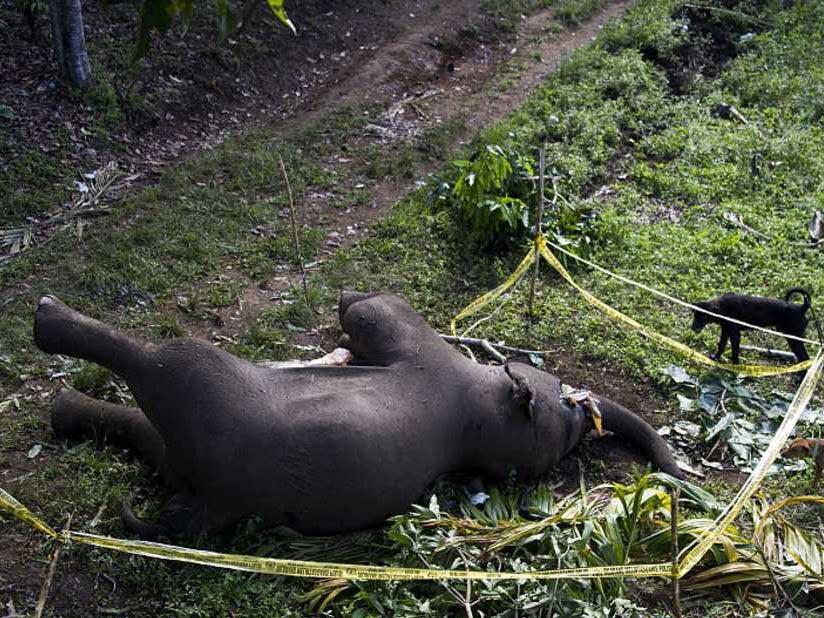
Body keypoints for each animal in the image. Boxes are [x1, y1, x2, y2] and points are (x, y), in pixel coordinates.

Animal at [33, 292, 684, 536]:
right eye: (566, 404)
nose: (584, 404)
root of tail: (210, 499)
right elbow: (364, 318)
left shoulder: (415, 344)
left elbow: (371, 309)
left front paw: (347, 314)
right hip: (181, 437)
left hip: (192, 386)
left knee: (144, 362)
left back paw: (49, 326)